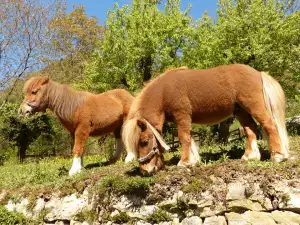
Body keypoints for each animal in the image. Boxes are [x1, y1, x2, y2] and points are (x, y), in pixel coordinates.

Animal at [123, 63, 290, 174]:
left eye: (144, 142)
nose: (145, 170)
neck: (165, 91)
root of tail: (258, 73)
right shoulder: (183, 120)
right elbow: (189, 139)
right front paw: (193, 160)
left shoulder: (182, 115)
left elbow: (184, 138)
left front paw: (184, 162)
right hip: (241, 111)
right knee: (251, 130)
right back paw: (250, 156)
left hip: (254, 107)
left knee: (270, 125)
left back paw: (278, 156)